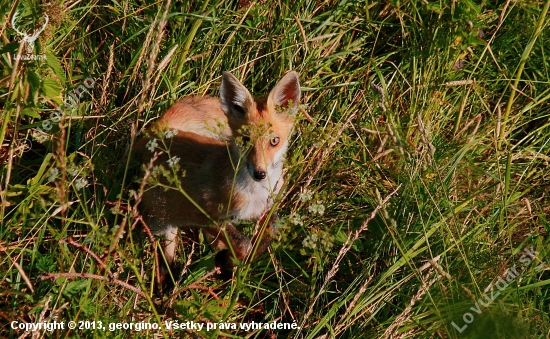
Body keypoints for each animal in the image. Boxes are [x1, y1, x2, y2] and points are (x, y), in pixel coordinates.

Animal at [136, 71, 302, 278]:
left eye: (274, 141)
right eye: (245, 140)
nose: (260, 173)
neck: (254, 194)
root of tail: (157, 133)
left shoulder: (263, 208)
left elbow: (273, 228)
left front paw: (240, 261)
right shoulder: (202, 216)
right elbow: (244, 244)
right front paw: (232, 263)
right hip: (164, 223)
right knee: (167, 262)